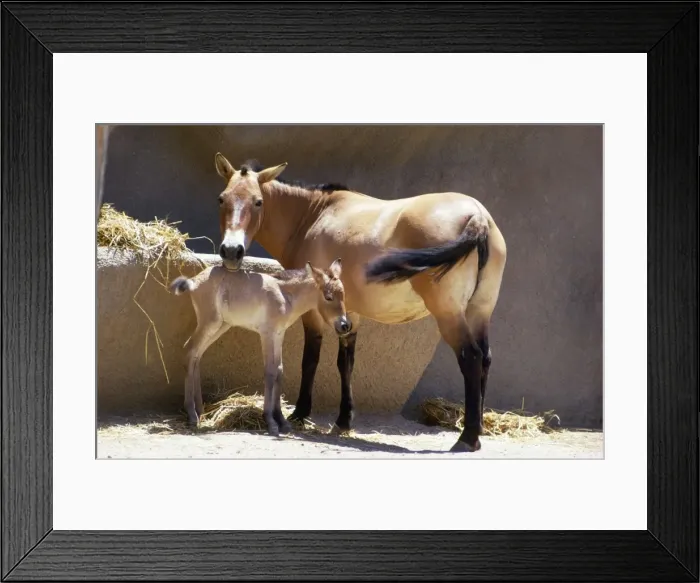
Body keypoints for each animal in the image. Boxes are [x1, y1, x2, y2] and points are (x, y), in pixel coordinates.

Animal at [169, 259, 350, 436]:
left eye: (343, 295)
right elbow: (270, 372)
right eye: (328, 297)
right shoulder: (267, 334)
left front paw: (281, 420)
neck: (285, 295)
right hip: (210, 323)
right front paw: (270, 421)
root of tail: (193, 281)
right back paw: (192, 415)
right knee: (189, 351)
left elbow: (279, 371)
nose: (345, 326)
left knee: (196, 356)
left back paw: (200, 411)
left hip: (220, 326)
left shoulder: (279, 334)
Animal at [211, 153, 507, 452]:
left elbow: (311, 359)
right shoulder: (349, 313)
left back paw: (467, 438)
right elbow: (346, 363)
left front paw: (300, 413)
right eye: (222, 198)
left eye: (258, 201)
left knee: (471, 357)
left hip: (449, 315)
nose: (232, 251)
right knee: (485, 358)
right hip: (479, 311)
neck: (314, 215)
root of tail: (477, 217)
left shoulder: (314, 312)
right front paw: (343, 421)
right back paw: (477, 429)